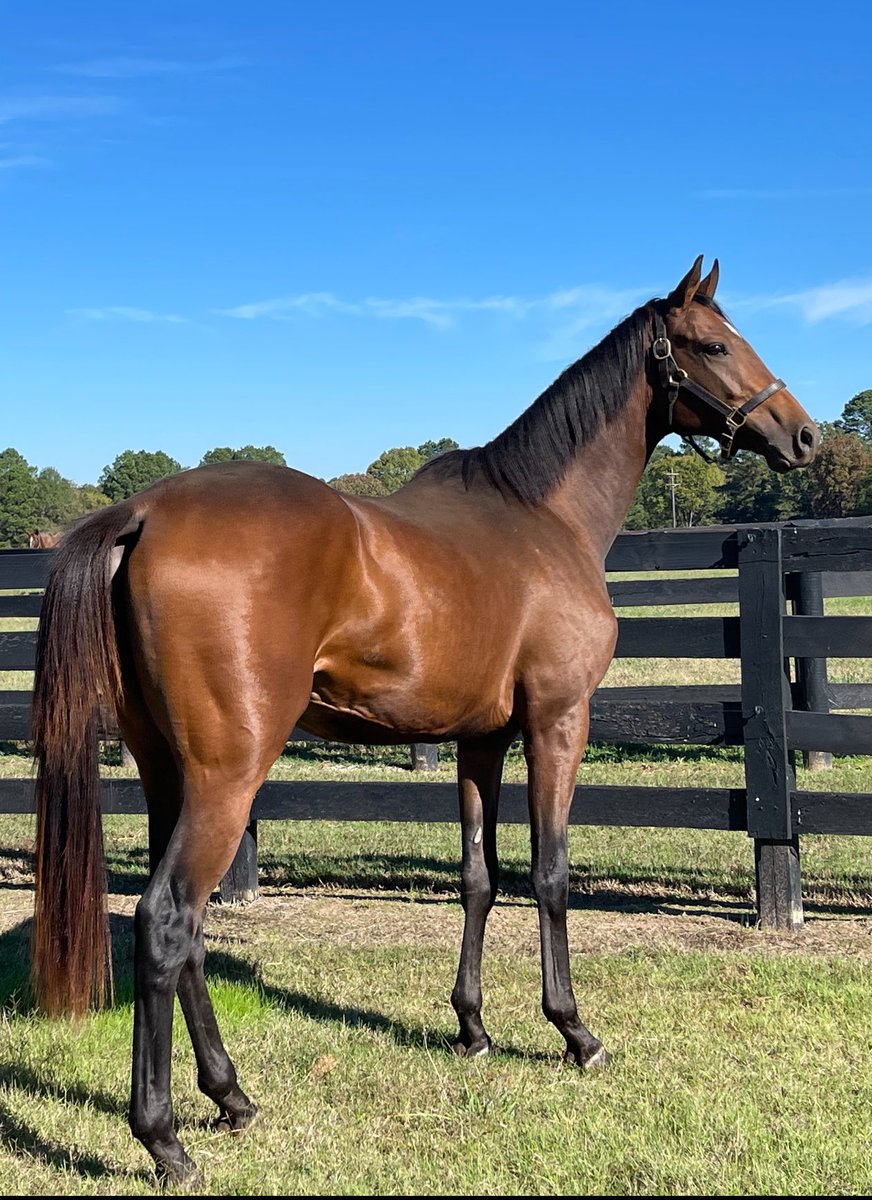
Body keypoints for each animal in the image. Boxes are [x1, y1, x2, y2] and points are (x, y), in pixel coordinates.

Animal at [30, 257, 818, 1185]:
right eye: (714, 345)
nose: (803, 436)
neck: (542, 520)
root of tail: (142, 514)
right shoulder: (558, 721)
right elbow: (550, 874)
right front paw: (574, 1032)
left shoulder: (479, 739)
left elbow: (478, 877)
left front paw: (472, 1028)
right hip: (227, 775)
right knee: (166, 922)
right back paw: (165, 1140)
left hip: (167, 773)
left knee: (182, 932)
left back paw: (231, 1097)